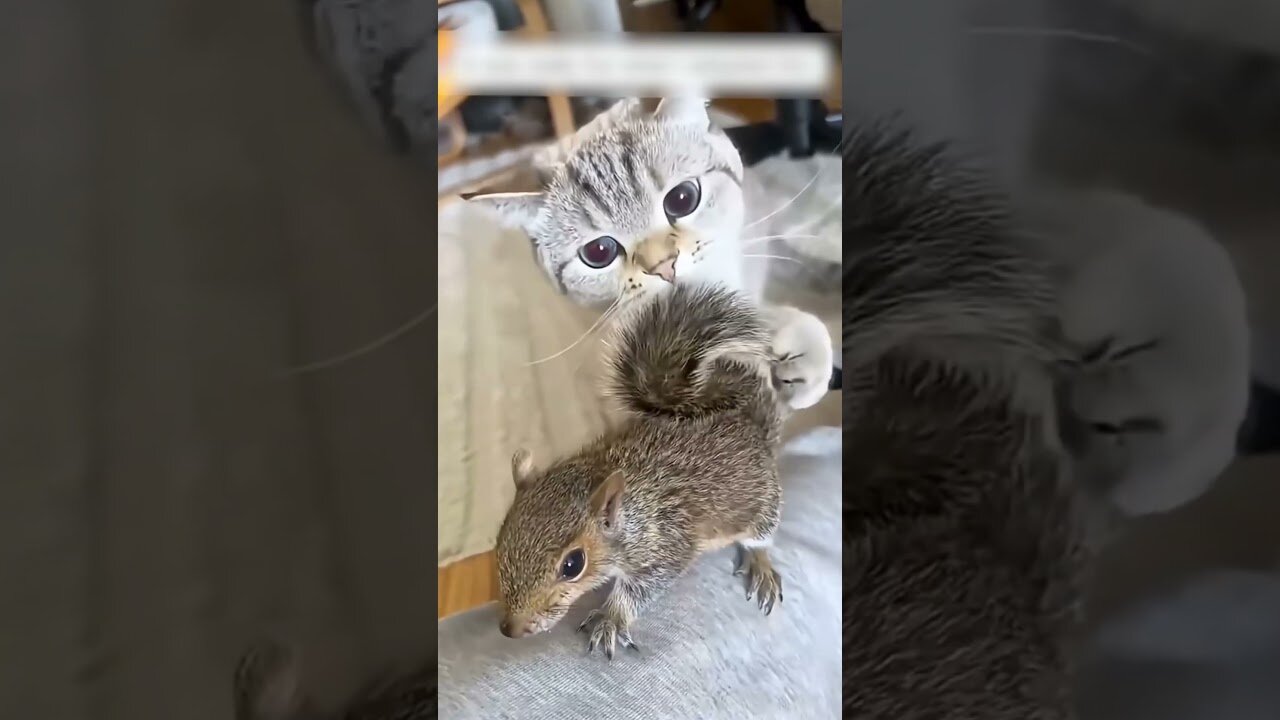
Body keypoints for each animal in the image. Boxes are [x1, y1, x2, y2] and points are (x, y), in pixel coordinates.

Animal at [495, 283, 831, 659]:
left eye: (573, 565)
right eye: (500, 537)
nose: (511, 629)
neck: (632, 505)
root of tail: (752, 426)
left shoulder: (669, 543)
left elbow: (643, 587)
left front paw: (611, 619)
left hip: (764, 506)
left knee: (761, 538)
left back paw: (761, 565)